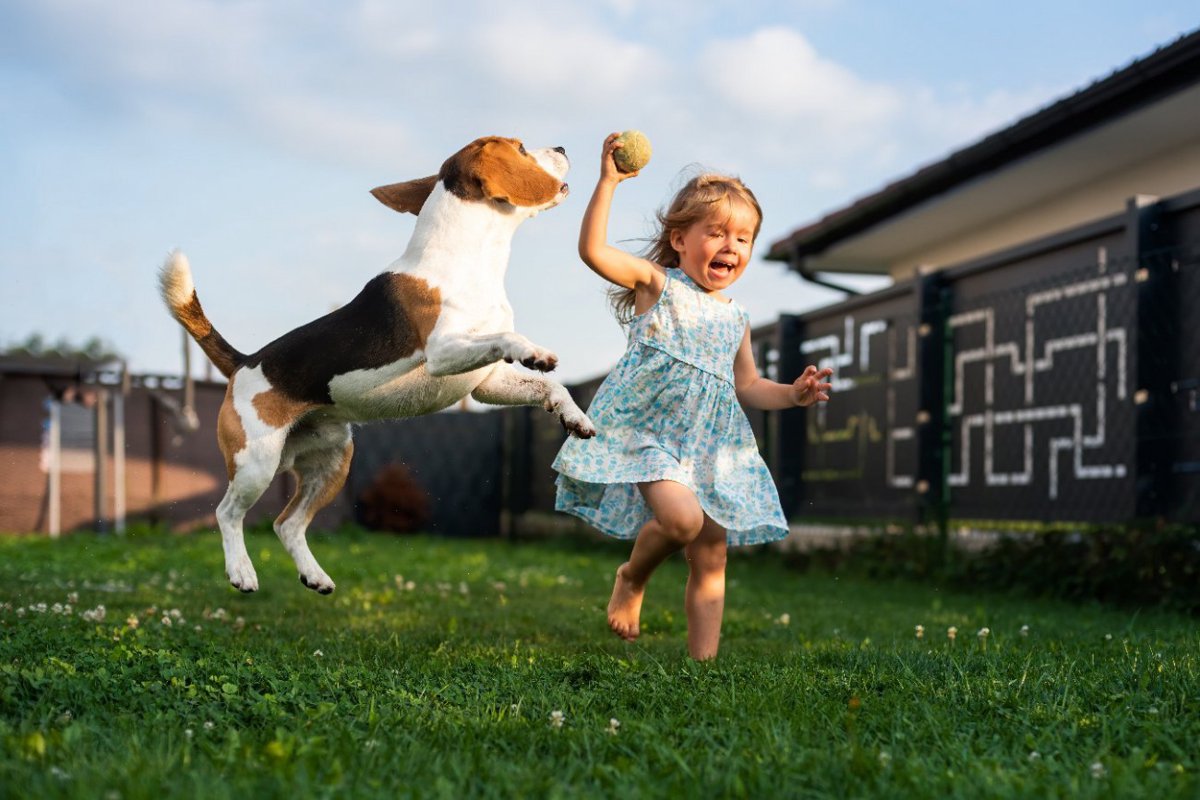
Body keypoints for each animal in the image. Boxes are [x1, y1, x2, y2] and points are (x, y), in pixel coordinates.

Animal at [160, 136, 595, 594]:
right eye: (521, 147)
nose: (562, 147)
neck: (466, 259)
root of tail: (244, 363)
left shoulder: (484, 383)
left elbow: (552, 387)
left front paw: (574, 417)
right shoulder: (443, 353)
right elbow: (508, 339)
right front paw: (535, 352)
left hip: (334, 462)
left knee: (287, 524)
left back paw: (314, 576)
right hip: (255, 465)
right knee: (227, 513)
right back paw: (241, 571)